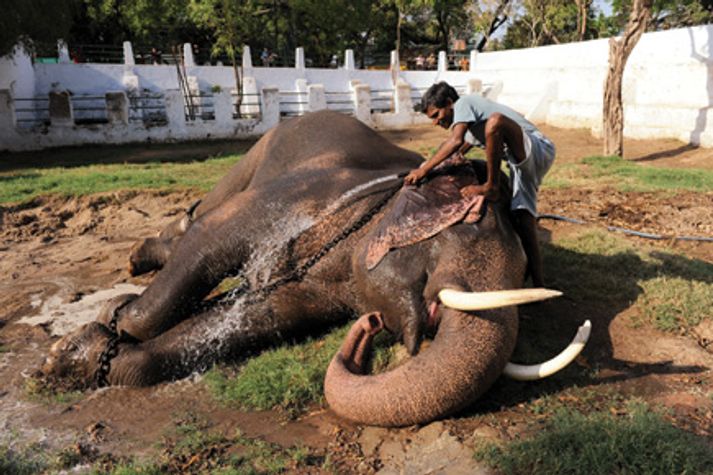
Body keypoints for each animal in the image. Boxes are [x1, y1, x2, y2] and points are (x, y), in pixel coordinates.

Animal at [44, 110, 588, 428]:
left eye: (522, 271)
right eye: (469, 230)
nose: (368, 327)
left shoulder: (321, 286)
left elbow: (263, 317)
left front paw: (90, 356)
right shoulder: (299, 197)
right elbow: (209, 242)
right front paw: (83, 339)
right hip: (259, 150)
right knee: (199, 216)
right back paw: (139, 258)